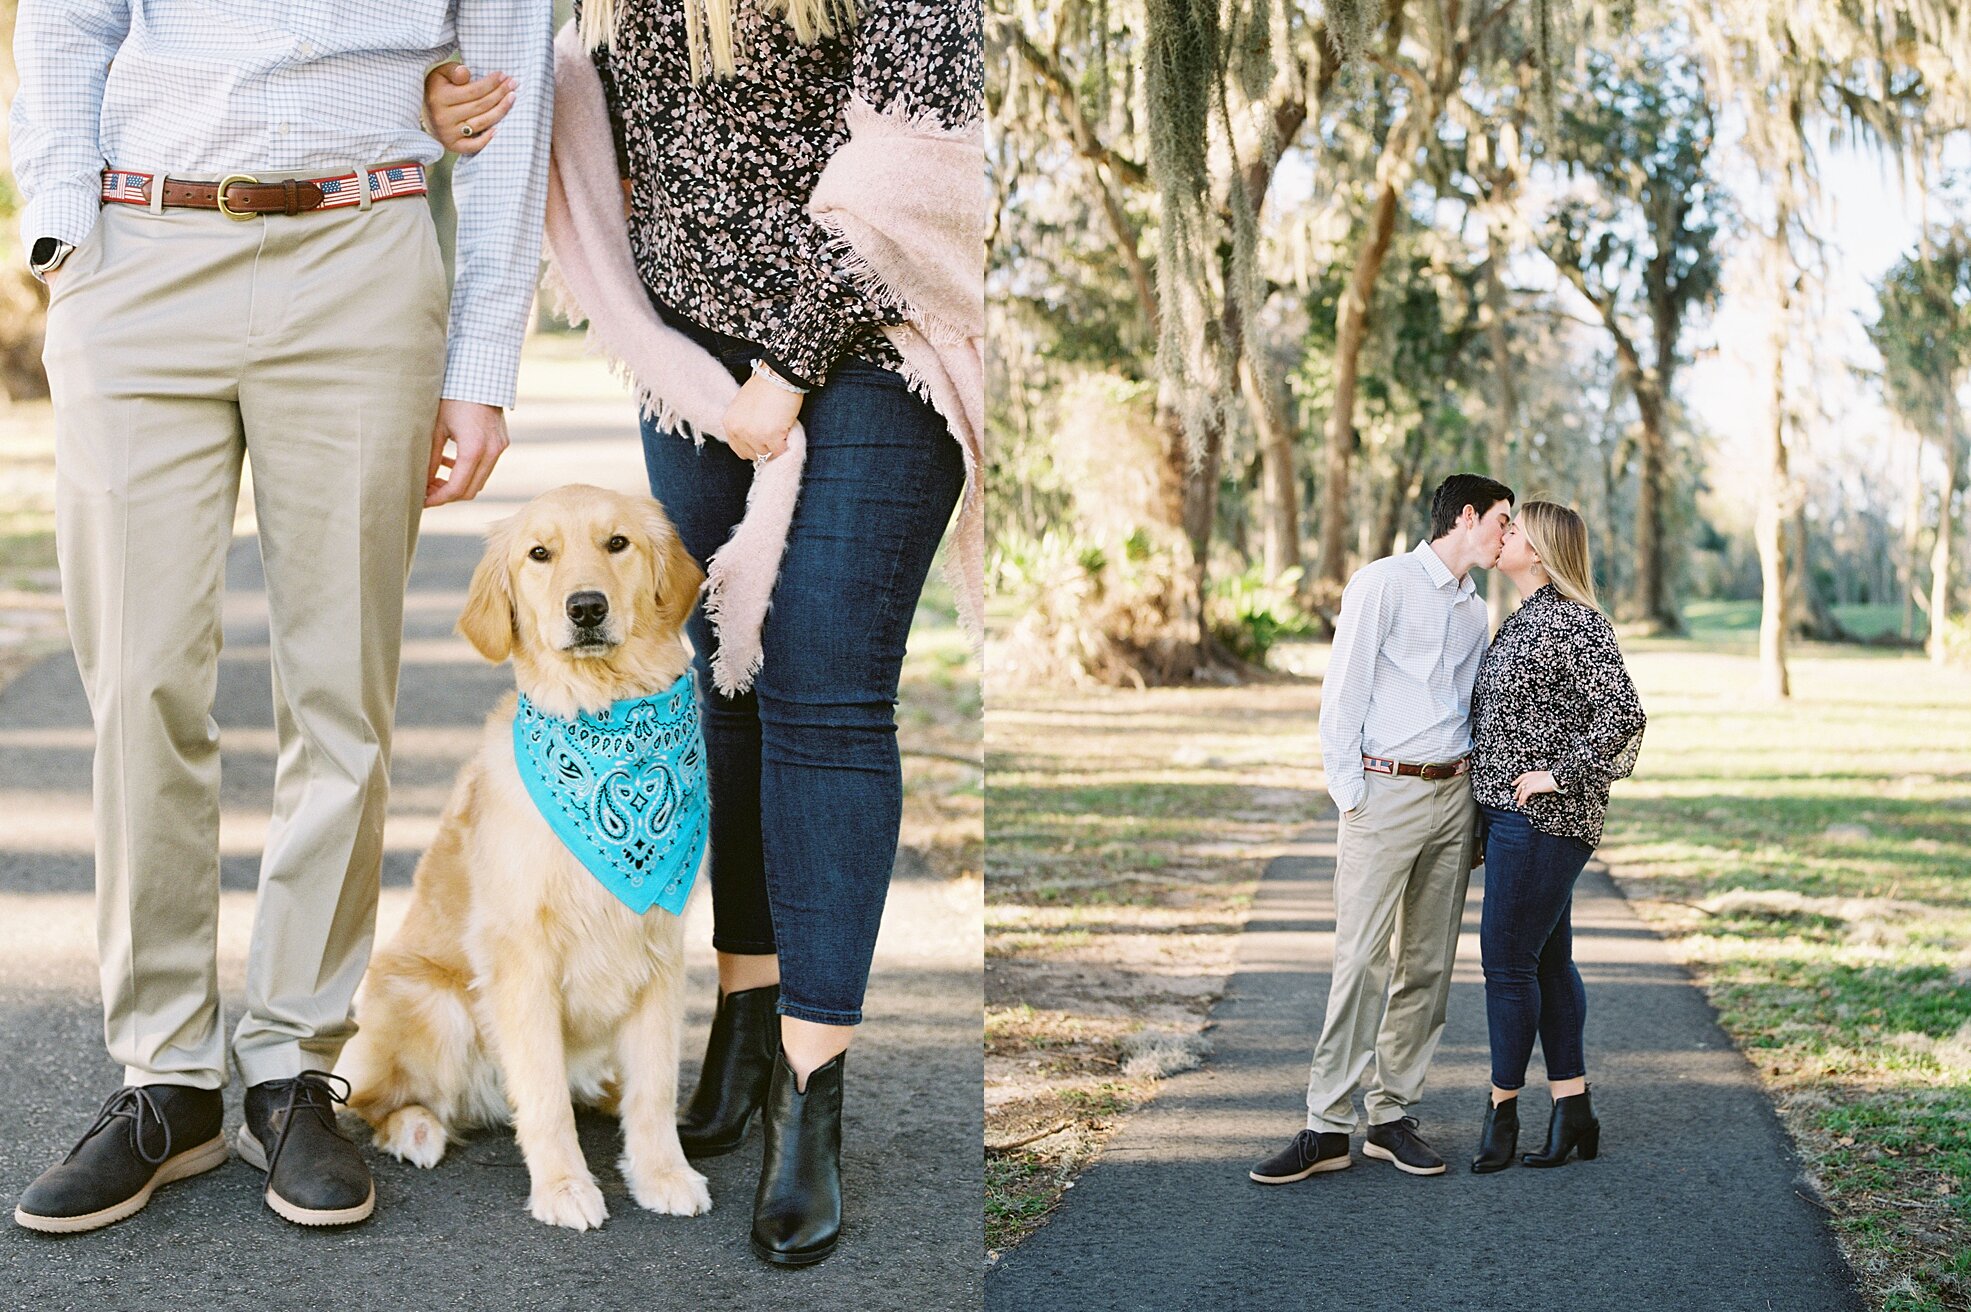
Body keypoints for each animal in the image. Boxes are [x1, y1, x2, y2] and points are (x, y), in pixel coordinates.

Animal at [339, 480, 717, 1229]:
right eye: (539, 554)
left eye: (617, 543)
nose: (586, 607)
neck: (608, 725)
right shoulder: (522, 960)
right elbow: (541, 1094)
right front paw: (564, 1187)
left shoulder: (660, 950)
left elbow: (654, 1087)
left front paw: (662, 1172)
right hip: (439, 1007)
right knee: (373, 1100)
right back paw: (416, 1129)